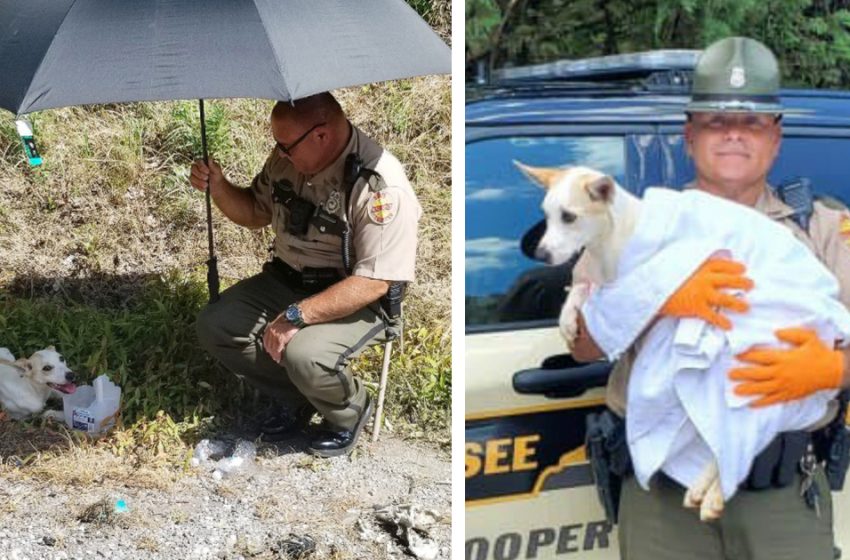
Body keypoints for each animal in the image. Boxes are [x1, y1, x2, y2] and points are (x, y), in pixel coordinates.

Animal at [190, 92, 420, 458]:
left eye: (286, 144)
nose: (280, 151)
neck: (335, 161)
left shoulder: (384, 198)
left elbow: (369, 276)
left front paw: (281, 330)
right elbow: (256, 210)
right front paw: (208, 175)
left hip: (363, 325)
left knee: (308, 359)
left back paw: (347, 425)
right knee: (220, 328)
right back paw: (291, 411)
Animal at [516, 161, 848, 520]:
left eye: (569, 217)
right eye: (546, 215)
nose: (541, 253)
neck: (614, 240)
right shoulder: (608, 283)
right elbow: (582, 290)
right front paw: (567, 316)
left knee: (741, 437)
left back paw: (715, 493)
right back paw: (703, 487)